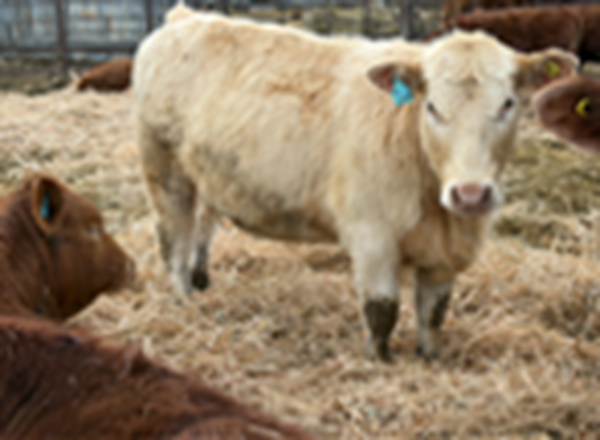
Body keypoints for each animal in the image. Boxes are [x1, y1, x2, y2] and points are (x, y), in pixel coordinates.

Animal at [133, 7, 578, 362]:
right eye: (432, 106)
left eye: (507, 104)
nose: (470, 194)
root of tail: (187, 17)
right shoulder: (372, 236)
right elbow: (382, 310)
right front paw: (380, 362)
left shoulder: (443, 253)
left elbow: (433, 313)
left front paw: (430, 358)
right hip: (163, 168)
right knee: (173, 236)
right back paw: (183, 297)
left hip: (206, 175)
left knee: (201, 228)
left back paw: (201, 281)